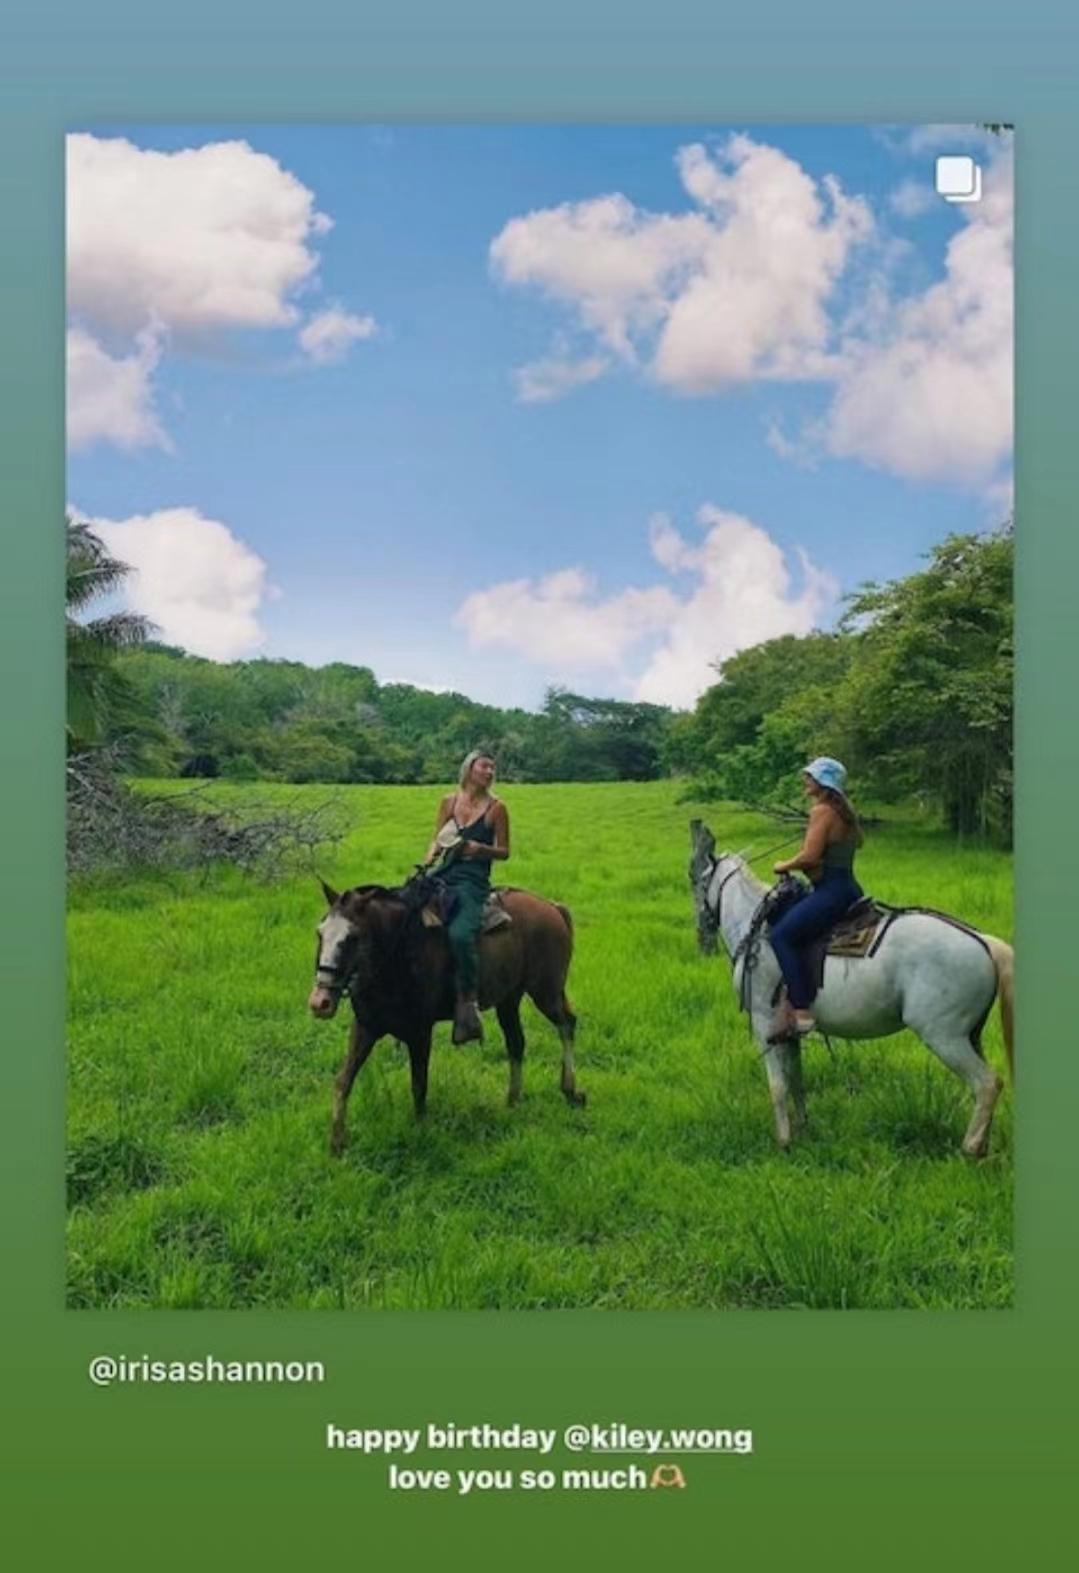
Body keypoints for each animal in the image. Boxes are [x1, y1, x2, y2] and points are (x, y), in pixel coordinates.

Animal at [308, 887, 588, 1157]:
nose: (320, 1002)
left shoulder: (420, 1032)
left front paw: (421, 1131)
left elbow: (419, 1084)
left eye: (352, 937)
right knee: (516, 1043)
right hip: (509, 999)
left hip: (546, 992)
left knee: (567, 1024)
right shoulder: (365, 1028)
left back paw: (570, 1090)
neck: (397, 955)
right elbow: (343, 1082)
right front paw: (336, 1145)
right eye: (320, 933)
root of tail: (552, 907)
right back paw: (513, 1100)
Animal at [692, 824, 1012, 1157]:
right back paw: (983, 1146)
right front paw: (803, 1131)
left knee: (987, 1084)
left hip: (944, 1037)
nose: (701, 924)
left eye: (699, 881)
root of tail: (982, 941)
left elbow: (777, 1086)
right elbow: (796, 1081)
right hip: (970, 1036)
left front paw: (784, 1142)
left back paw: (970, 1148)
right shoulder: (787, 1032)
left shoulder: (764, 1023)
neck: (756, 927)